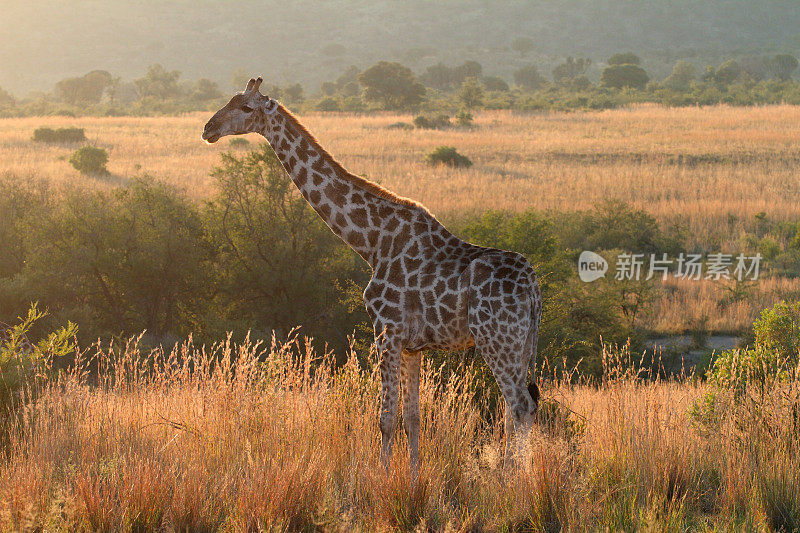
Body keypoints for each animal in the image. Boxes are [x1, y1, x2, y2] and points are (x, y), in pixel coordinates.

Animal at [202, 76, 544, 474]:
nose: (208, 129)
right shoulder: (413, 345)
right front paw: (412, 478)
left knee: (518, 405)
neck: (371, 242)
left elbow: (386, 418)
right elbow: (413, 418)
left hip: (497, 340)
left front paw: (378, 478)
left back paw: (510, 479)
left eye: (245, 108)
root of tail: (534, 289)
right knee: (523, 405)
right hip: (523, 344)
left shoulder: (386, 331)